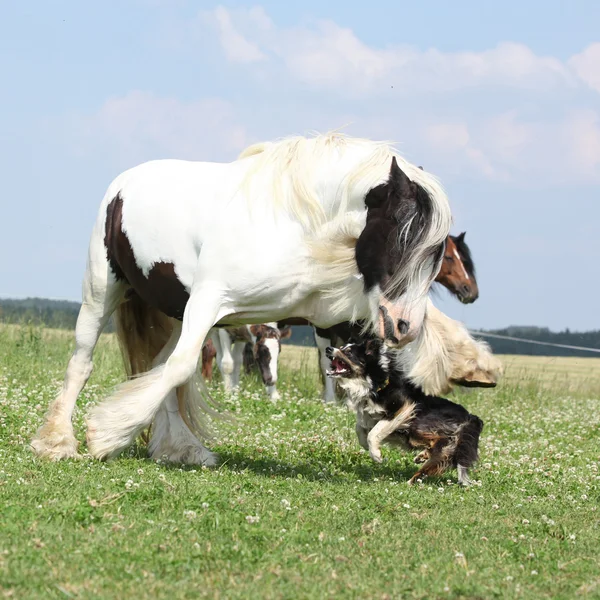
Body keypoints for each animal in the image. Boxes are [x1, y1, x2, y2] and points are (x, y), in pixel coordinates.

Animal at [29, 134, 450, 466]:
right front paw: (106, 435)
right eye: (401, 235)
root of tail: (125, 181)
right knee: (84, 362)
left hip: (176, 313)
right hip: (102, 293)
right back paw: (58, 441)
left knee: (158, 367)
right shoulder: (209, 301)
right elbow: (182, 367)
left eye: (436, 254)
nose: (405, 327)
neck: (296, 225)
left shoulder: (332, 316)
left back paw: (181, 448)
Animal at [326, 340, 486, 486]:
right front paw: (365, 444)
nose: (328, 349)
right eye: (341, 347)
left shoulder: (402, 408)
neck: (373, 382)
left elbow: (374, 433)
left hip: (419, 425)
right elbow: (359, 427)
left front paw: (376, 455)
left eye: (348, 352)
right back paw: (419, 465)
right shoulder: (368, 416)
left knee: (439, 439)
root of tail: (470, 416)